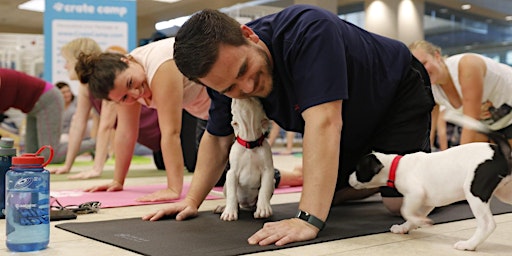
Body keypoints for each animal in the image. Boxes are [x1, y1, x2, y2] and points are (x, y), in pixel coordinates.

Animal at [348, 111, 512, 251]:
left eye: (358, 169)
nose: (348, 178)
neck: (396, 165)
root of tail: (500, 153)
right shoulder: (426, 201)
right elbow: (412, 215)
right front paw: (405, 227)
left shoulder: (415, 194)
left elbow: (405, 210)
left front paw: (422, 222)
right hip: (505, 194)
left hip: (475, 193)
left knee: (487, 224)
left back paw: (469, 245)